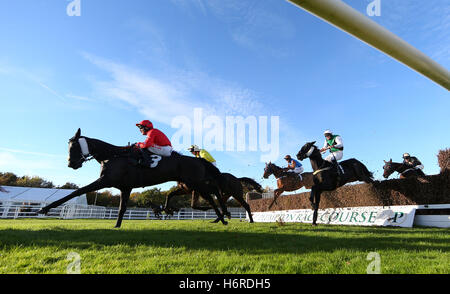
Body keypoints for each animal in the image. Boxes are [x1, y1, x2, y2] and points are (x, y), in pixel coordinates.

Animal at [36, 129, 229, 227]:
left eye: (74, 146)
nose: (71, 164)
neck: (113, 156)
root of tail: (199, 160)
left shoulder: (106, 181)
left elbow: (77, 191)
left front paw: (44, 209)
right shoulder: (125, 187)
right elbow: (122, 208)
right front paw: (117, 226)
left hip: (195, 183)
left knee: (212, 197)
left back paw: (223, 218)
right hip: (192, 184)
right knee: (212, 195)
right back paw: (221, 216)